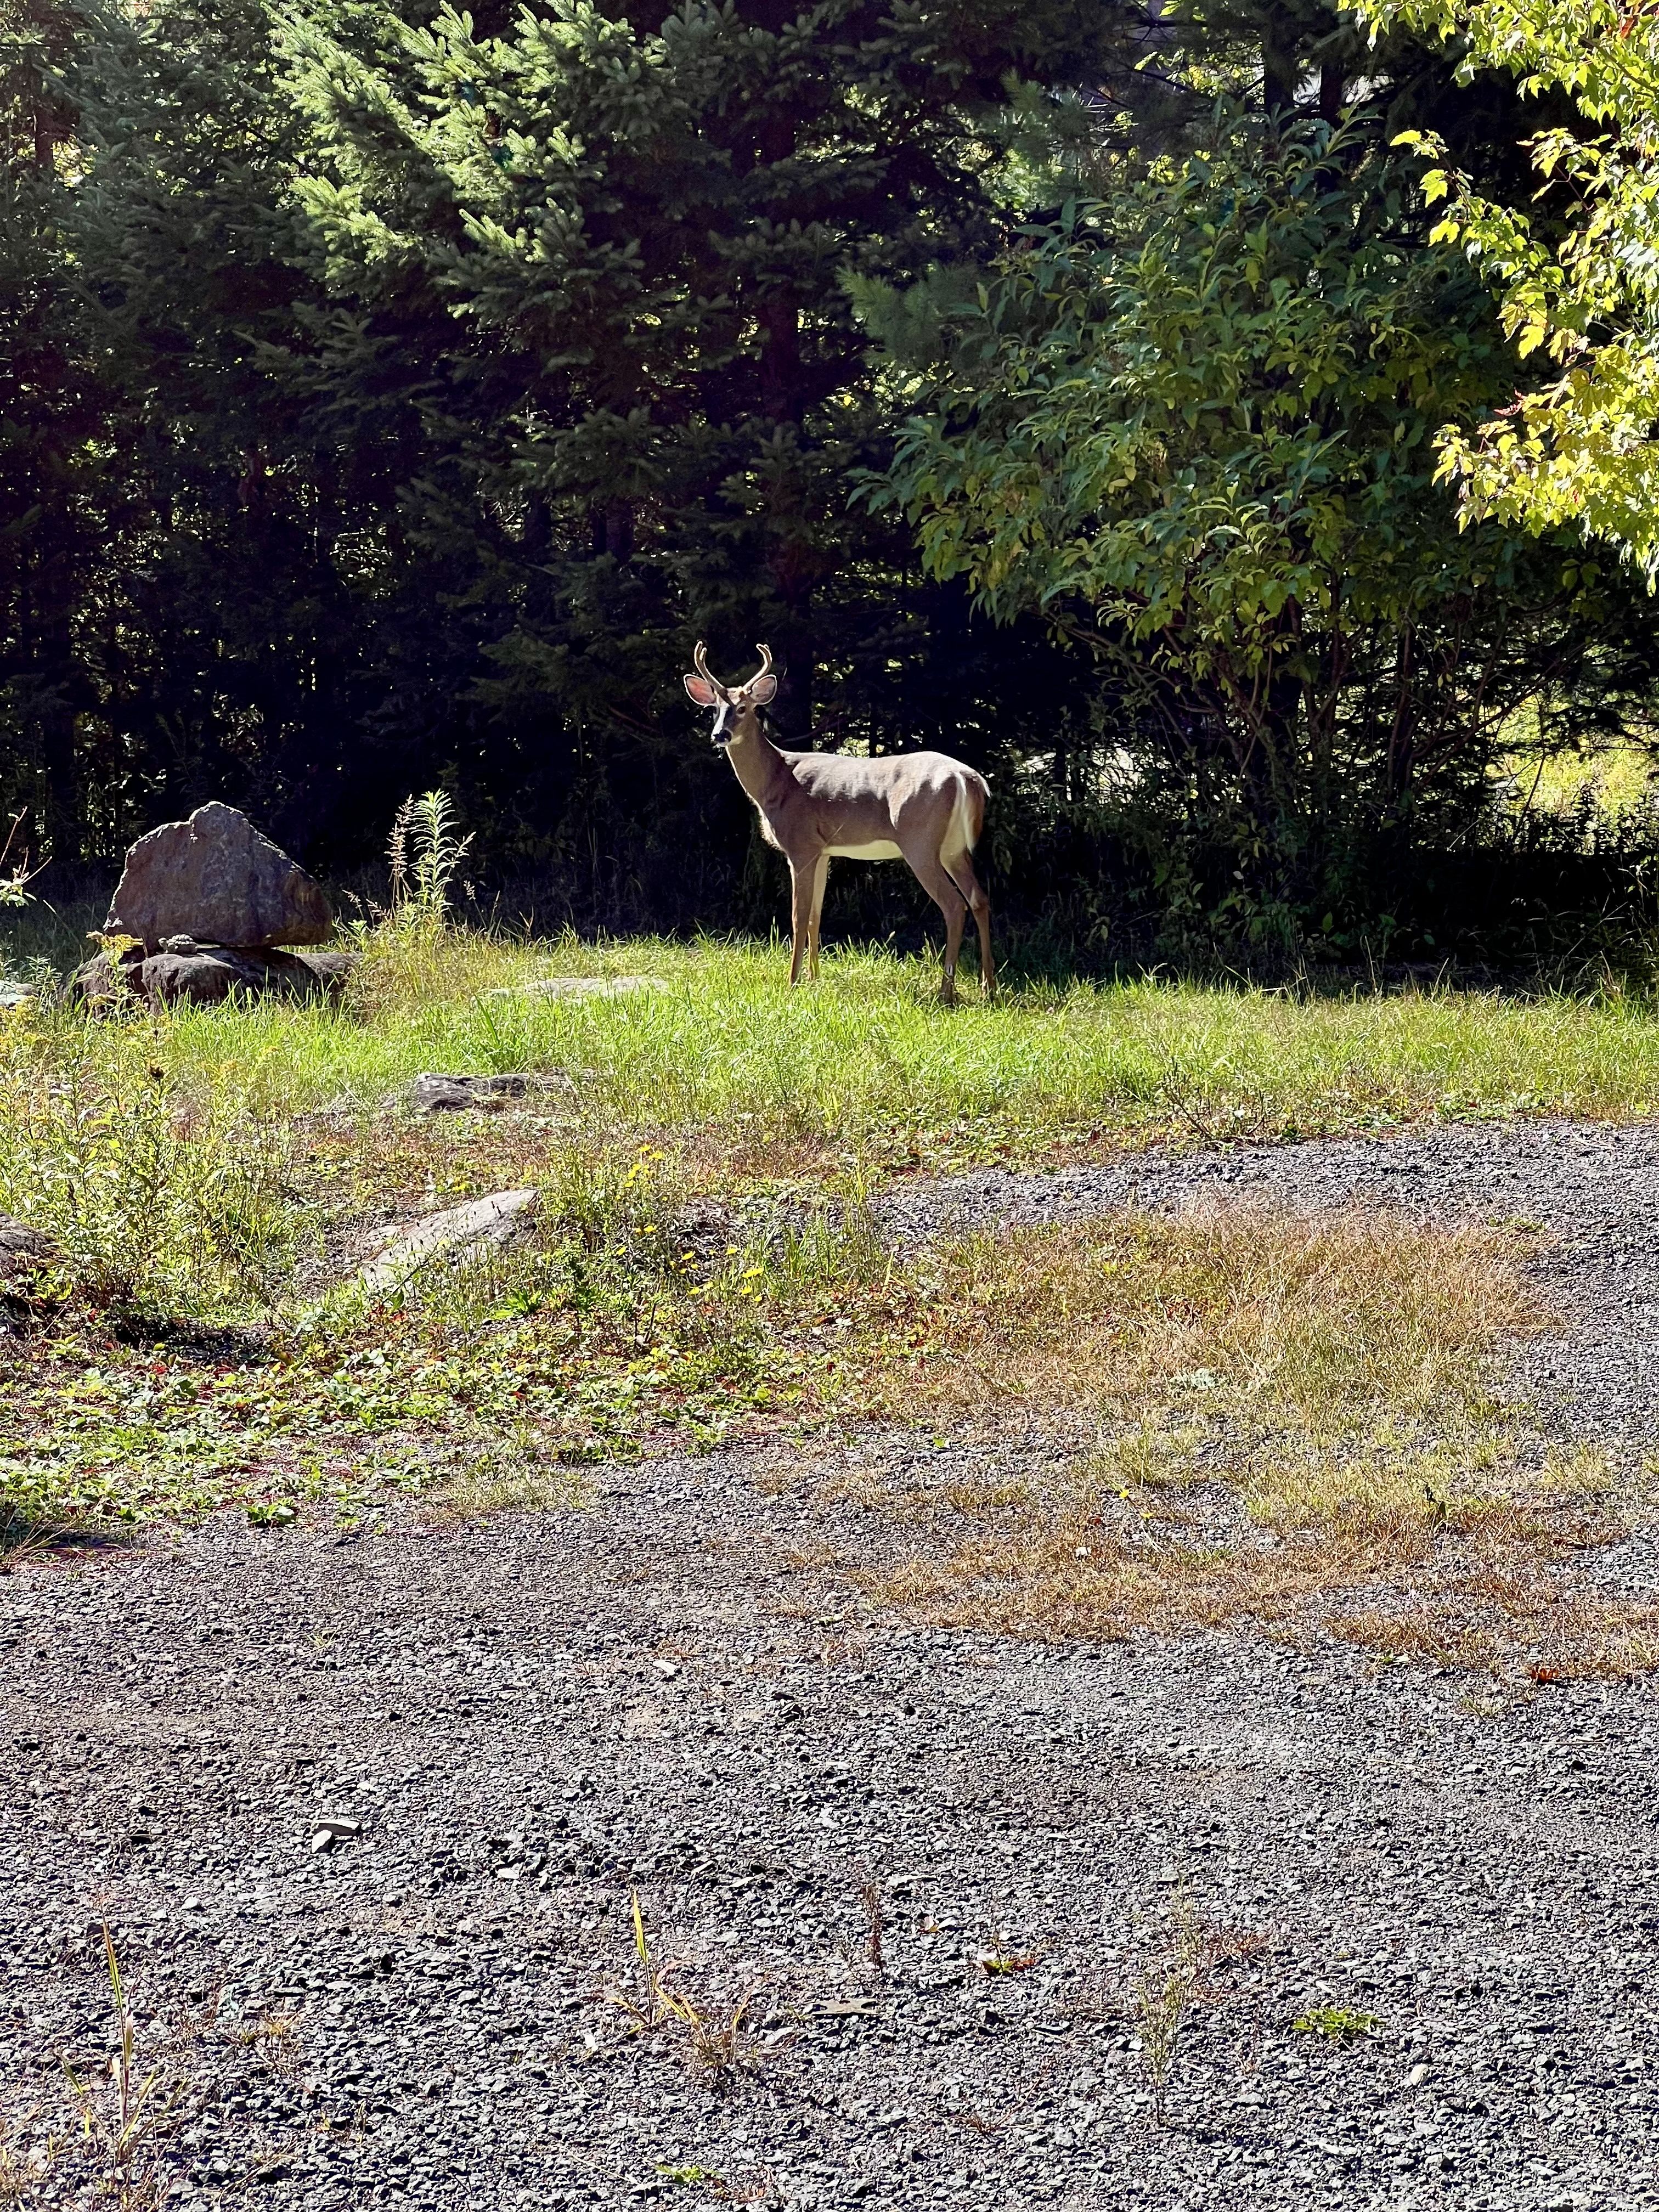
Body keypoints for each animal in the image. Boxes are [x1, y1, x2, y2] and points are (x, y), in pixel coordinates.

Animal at [684, 643, 995, 1002]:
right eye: (715, 709)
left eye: (744, 708)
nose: (720, 734)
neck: (776, 781)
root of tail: (967, 778)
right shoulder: (824, 851)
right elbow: (816, 916)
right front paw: (814, 978)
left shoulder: (801, 846)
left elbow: (798, 915)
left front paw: (792, 983)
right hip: (954, 848)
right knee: (979, 899)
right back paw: (988, 986)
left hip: (920, 843)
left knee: (954, 906)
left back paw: (945, 992)